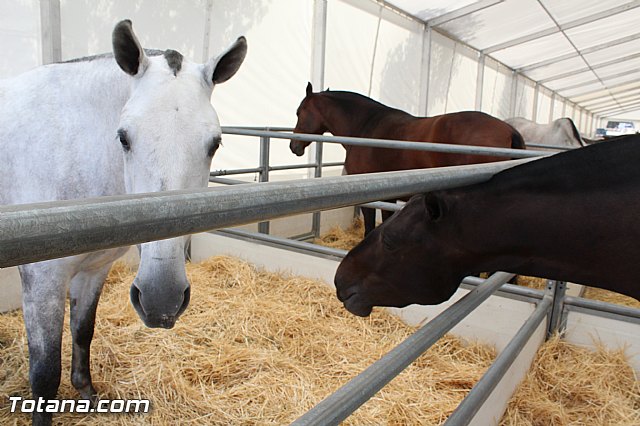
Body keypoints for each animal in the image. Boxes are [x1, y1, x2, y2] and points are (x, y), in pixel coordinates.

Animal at [0, 20, 246, 425]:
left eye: (215, 144)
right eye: (124, 138)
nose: (162, 298)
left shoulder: (94, 270)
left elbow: (83, 331)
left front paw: (86, 393)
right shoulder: (42, 282)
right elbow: (44, 375)